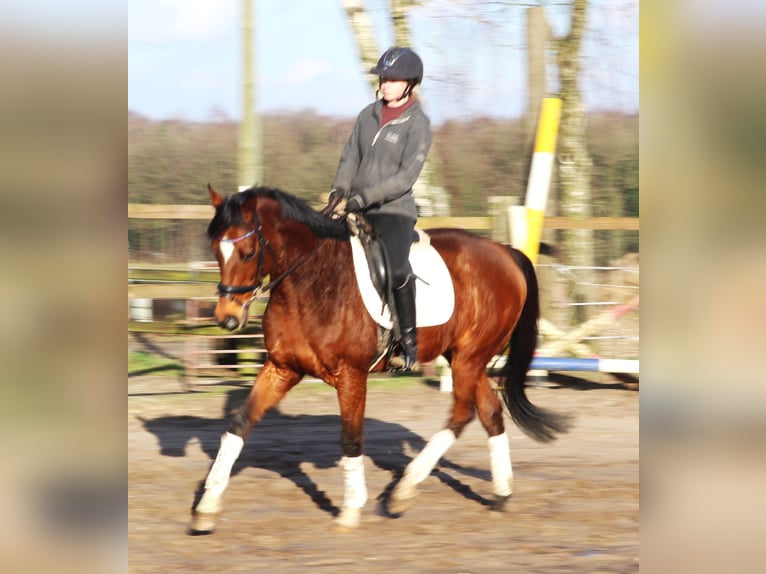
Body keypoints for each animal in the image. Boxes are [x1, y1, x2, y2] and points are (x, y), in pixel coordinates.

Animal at [189, 184, 572, 536]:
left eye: (248, 252)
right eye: (216, 250)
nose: (227, 319)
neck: (312, 280)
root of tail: (504, 251)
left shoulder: (351, 374)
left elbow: (351, 438)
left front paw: (350, 509)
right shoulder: (283, 368)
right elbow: (239, 424)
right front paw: (206, 507)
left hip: (469, 356)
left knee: (462, 413)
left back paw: (404, 491)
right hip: (466, 357)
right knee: (490, 411)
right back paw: (501, 493)